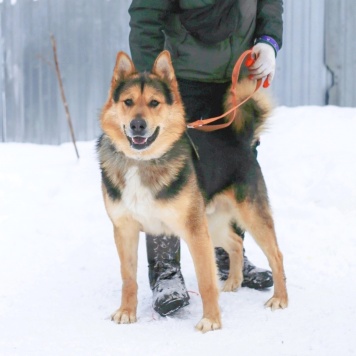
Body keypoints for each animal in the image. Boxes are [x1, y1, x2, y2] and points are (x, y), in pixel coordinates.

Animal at [98, 50, 290, 334]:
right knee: (236, 242)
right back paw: (233, 282)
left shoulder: (194, 231)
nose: (137, 125)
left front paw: (211, 320)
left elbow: (206, 280)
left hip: (248, 217)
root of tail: (238, 139)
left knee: (276, 254)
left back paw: (280, 298)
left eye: (154, 103)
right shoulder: (125, 230)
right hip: (211, 221)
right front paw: (127, 312)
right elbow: (128, 277)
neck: (142, 162)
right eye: (128, 102)